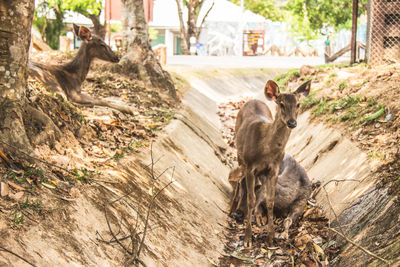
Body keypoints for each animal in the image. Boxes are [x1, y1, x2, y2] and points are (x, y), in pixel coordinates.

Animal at [236, 79, 310, 247]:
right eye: (281, 103)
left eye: (298, 104)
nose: (292, 122)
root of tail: (253, 99)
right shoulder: (251, 167)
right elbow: (251, 200)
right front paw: (248, 239)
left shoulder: (273, 170)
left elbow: (270, 201)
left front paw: (270, 239)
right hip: (240, 156)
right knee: (242, 181)